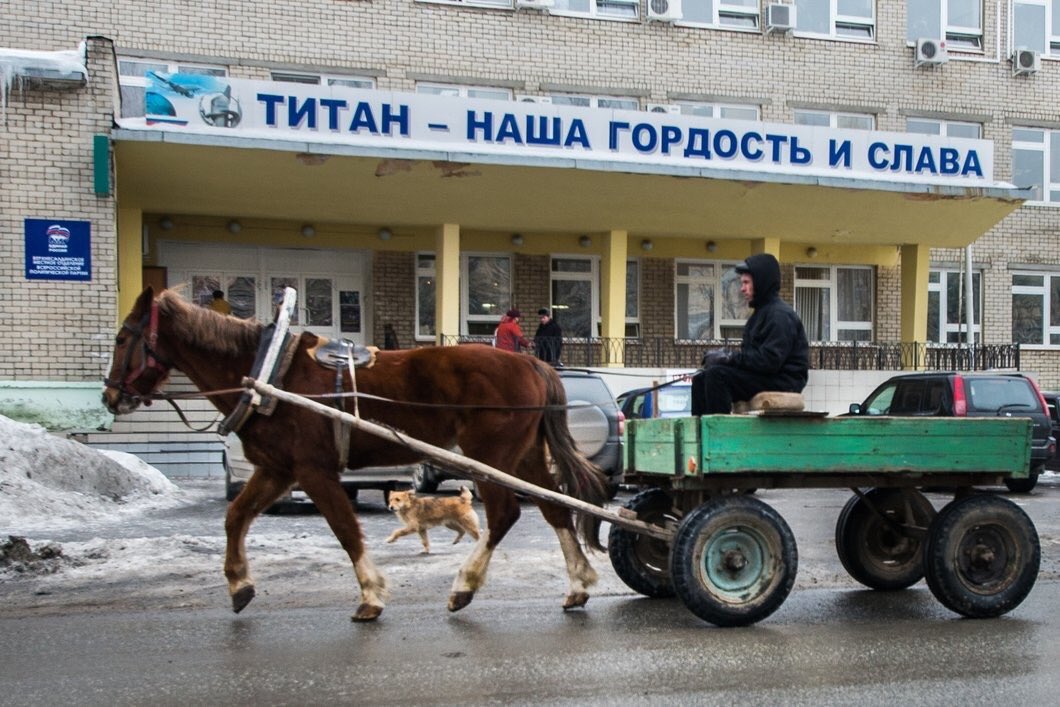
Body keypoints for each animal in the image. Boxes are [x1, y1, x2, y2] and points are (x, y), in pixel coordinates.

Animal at [102, 287, 609, 621]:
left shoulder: (313, 469)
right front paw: (239, 585)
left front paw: (370, 596)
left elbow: (346, 531)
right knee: (553, 507)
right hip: (520, 456)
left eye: (122, 338)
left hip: (491, 456)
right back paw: (577, 585)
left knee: (506, 512)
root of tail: (533, 361)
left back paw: (464, 586)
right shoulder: (277, 469)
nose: (110, 397)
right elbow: (235, 516)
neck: (270, 373)